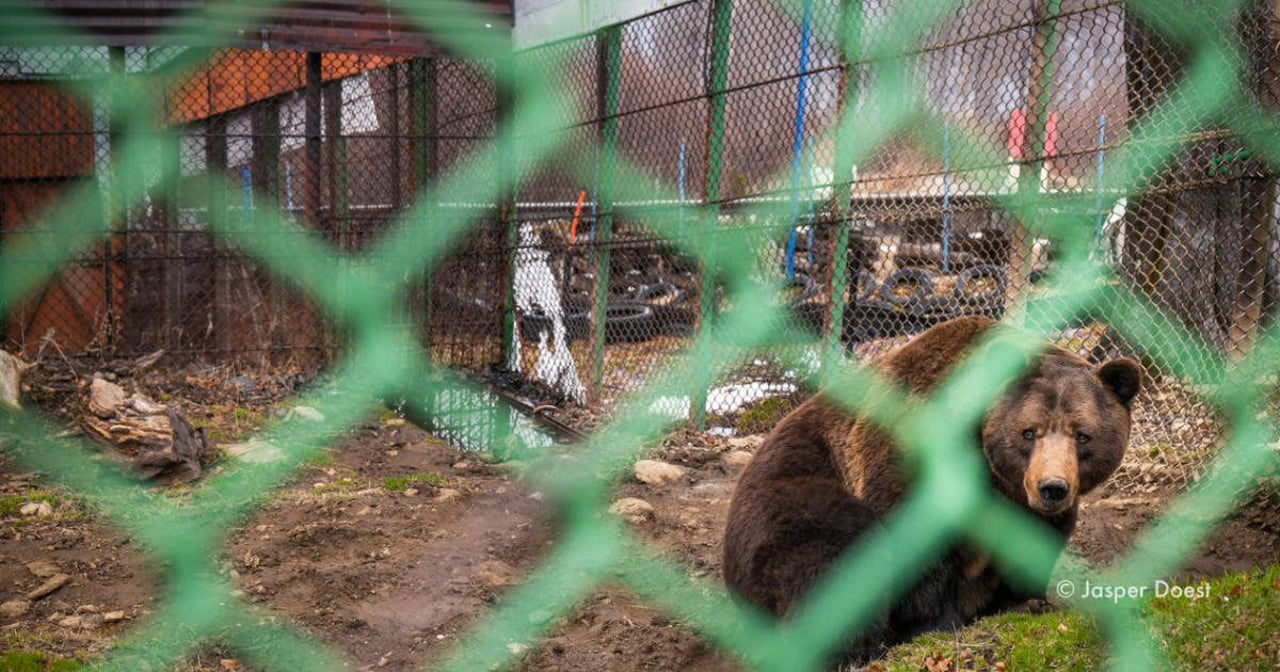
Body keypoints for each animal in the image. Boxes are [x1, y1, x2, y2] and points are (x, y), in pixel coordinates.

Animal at [721, 313, 1141, 660]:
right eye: (1029, 432)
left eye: (1083, 435)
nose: (1052, 488)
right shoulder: (912, 452)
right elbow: (917, 548)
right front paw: (936, 623)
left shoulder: (1027, 508)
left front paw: (1026, 603)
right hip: (788, 501)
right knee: (834, 553)